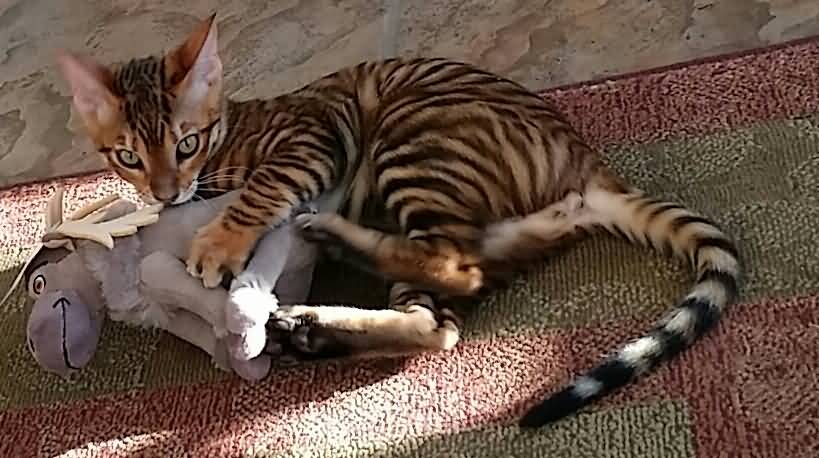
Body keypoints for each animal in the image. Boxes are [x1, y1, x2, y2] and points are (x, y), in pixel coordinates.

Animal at [54, 16, 740, 428]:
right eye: (128, 158)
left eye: (188, 143)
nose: (167, 193)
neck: (232, 136)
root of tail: (585, 162)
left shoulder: (311, 138)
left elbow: (260, 192)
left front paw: (219, 243)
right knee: (439, 323)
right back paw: (312, 328)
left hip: (410, 139)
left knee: (454, 267)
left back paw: (328, 244)